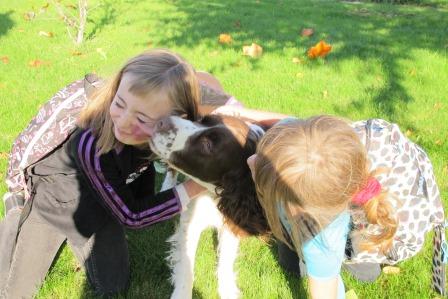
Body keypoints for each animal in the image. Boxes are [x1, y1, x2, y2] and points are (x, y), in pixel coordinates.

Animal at [150, 115, 270, 299]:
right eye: (202, 120)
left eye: (208, 145)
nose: (162, 121)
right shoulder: (191, 221)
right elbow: (186, 262)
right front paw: (182, 293)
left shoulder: (235, 219)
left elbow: (226, 258)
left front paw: (226, 289)